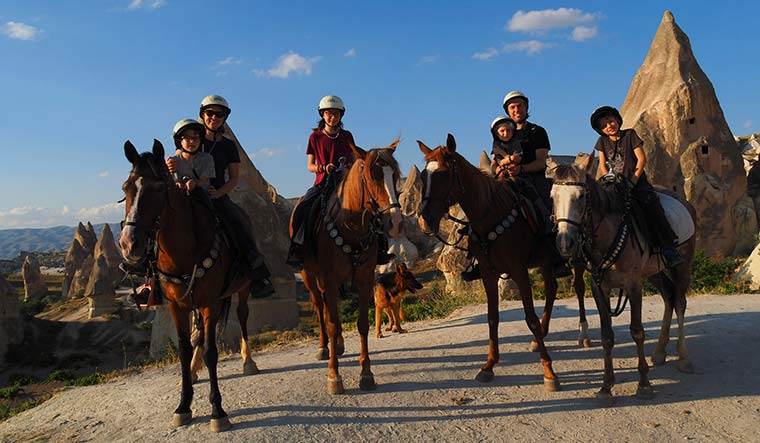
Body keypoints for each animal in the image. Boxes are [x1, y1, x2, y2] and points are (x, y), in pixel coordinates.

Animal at [119, 140, 255, 432]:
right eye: (126, 188)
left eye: (159, 188)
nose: (129, 243)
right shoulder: (177, 304)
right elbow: (184, 348)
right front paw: (183, 406)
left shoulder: (210, 301)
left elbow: (212, 351)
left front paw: (217, 411)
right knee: (198, 335)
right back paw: (194, 370)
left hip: (242, 287)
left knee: (242, 316)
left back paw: (248, 361)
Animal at [296, 140, 404, 396]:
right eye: (372, 177)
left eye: (394, 176)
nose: (395, 222)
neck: (350, 226)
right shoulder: (329, 278)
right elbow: (332, 324)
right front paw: (334, 376)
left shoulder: (364, 279)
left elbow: (363, 325)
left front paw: (366, 373)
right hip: (310, 276)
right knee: (320, 308)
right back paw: (324, 347)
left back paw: (339, 345)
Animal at [418, 135, 560, 392]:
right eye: (423, 176)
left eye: (443, 173)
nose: (425, 220)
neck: (492, 215)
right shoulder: (488, 274)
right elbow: (492, 318)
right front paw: (489, 366)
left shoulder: (519, 271)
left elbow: (530, 319)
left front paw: (549, 372)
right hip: (545, 262)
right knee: (551, 289)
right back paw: (541, 338)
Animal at [552, 153, 696, 410]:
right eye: (552, 197)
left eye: (580, 196)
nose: (565, 242)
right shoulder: (599, 287)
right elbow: (606, 336)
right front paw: (606, 387)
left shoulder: (633, 286)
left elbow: (637, 331)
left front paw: (644, 384)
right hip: (654, 272)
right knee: (669, 298)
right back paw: (660, 351)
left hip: (683, 264)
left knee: (679, 302)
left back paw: (683, 356)